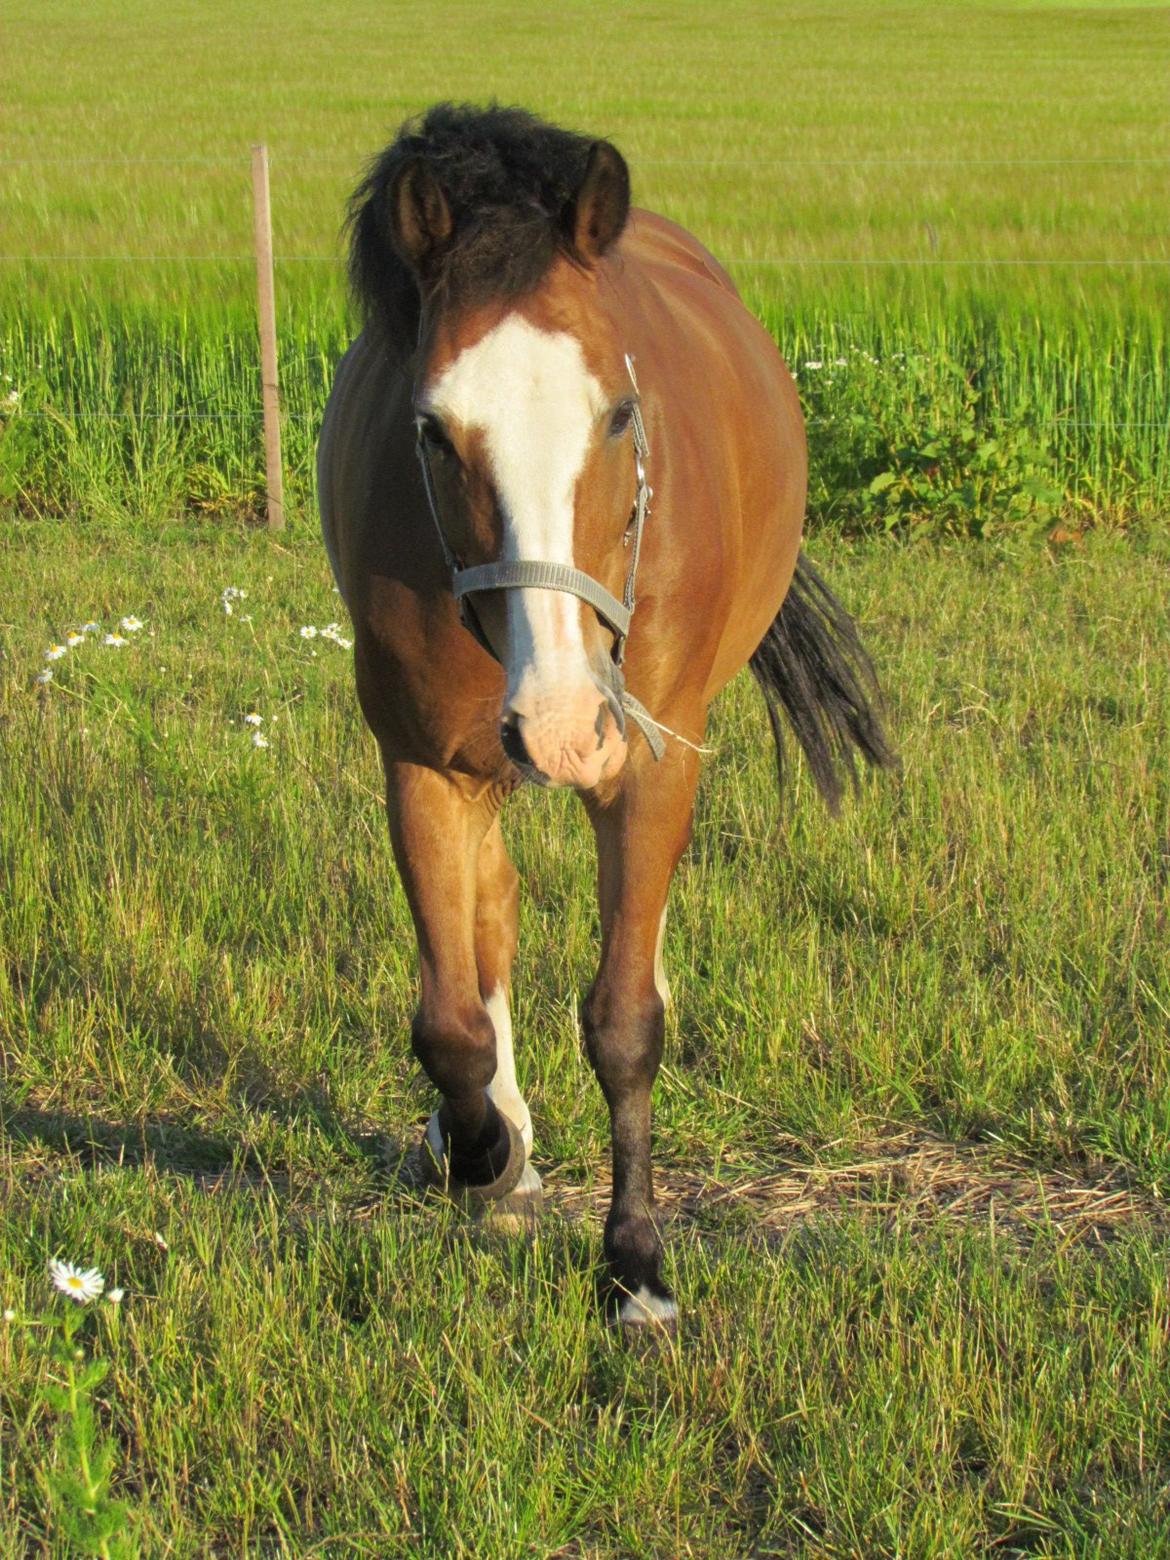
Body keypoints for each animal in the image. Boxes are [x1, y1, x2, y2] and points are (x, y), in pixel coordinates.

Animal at [318, 103, 896, 1326]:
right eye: (432, 430)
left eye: (620, 413)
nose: (561, 727)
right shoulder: (422, 766)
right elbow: (449, 1019)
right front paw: (484, 1149)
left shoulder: (648, 765)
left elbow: (627, 1022)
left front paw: (635, 1267)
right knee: (491, 917)